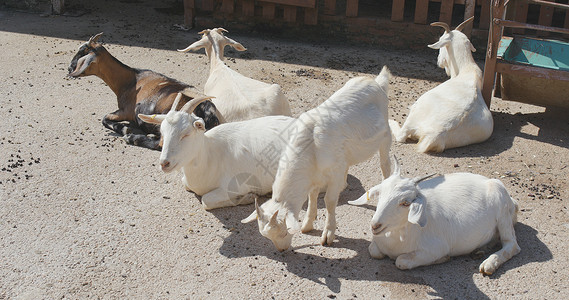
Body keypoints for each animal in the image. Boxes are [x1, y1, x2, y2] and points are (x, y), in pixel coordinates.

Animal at [67, 32, 223, 150]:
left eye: (82, 51)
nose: (69, 68)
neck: (131, 80)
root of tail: (208, 113)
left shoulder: (126, 111)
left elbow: (104, 118)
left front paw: (125, 130)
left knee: (161, 143)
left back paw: (133, 138)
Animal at [140, 92, 296, 210]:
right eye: (162, 132)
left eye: (186, 134)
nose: (164, 163)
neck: (211, 157)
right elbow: (187, 185)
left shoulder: (237, 185)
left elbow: (206, 200)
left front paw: (247, 197)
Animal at [242, 67, 392, 251]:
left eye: (284, 232)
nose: (282, 249)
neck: (310, 146)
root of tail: (377, 82)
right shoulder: (314, 175)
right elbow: (312, 197)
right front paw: (307, 224)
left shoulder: (333, 172)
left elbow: (329, 201)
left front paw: (328, 234)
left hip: (385, 136)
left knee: (385, 164)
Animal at [346, 158, 520, 276]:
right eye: (379, 194)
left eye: (406, 203)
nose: (375, 225)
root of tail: (513, 202)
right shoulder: (377, 244)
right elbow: (373, 250)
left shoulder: (436, 248)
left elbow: (400, 261)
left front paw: (443, 258)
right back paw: (480, 250)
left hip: (502, 209)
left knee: (512, 245)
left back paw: (489, 263)